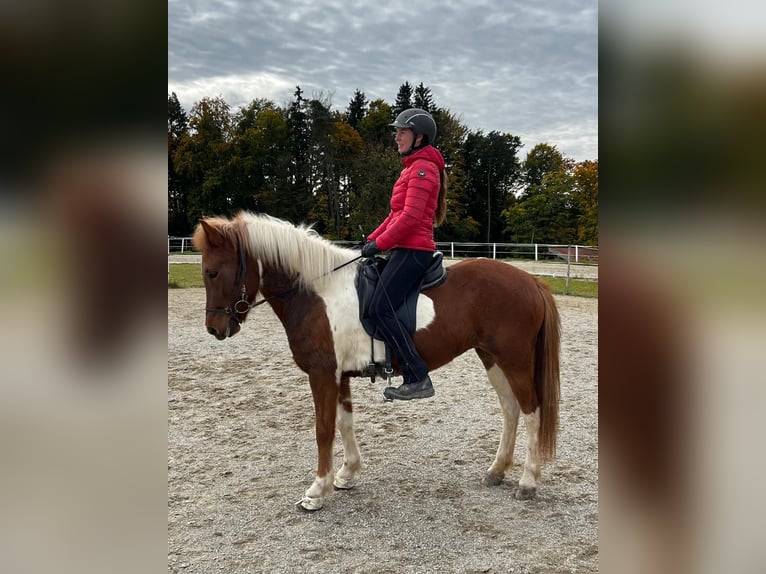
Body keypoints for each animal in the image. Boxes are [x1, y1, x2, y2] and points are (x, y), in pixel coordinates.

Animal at [193, 211, 561, 511]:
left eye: (213, 272)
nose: (213, 328)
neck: (318, 293)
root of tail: (531, 280)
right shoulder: (338, 375)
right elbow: (345, 422)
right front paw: (346, 474)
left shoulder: (322, 374)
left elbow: (323, 429)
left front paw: (317, 490)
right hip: (492, 358)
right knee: (511, 410)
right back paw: (497, 471)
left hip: (514, 361)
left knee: (531, 413)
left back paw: (528, 482)